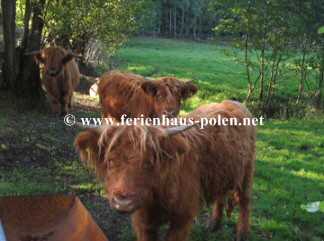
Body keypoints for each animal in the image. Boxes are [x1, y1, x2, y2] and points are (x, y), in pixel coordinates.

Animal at [74, 100, 256, 241]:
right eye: (110, 160)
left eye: (148, 162)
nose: (123, 202)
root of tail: (234, 103)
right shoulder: (143, 221)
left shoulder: (183, 217)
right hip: (223, 172)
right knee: (221, 195)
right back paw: (213, 224)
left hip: (247, 169)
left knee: (244, 200)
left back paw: (243, 233)